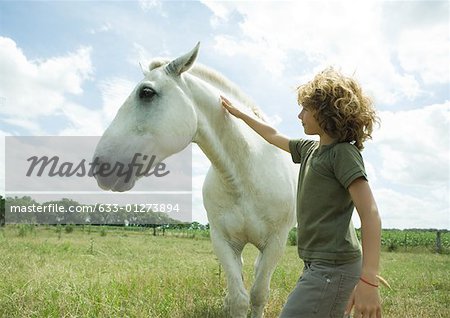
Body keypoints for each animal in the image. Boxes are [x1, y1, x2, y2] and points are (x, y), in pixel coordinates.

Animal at [93, 42, 298, 318]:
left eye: (146, 93)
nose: (100, 166)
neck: (245, 177)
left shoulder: (276, 243)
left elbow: (258, 295)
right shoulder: (223, 241)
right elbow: (239, 299)